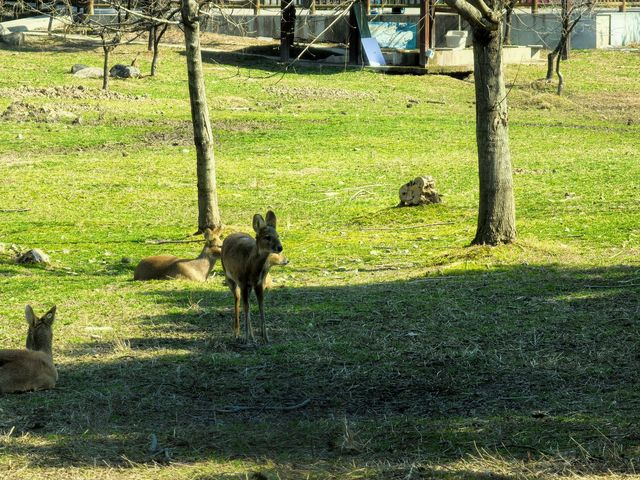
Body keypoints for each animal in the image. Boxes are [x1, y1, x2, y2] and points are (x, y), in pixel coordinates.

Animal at [222, 212, 288, 344]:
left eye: (277, 235)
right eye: (267, 237)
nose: (280, 247)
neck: (251, 267)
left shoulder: (259, 283)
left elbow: (261, 306)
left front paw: (265, 337)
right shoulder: (242, 281)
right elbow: (246, 307)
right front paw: (247, 338)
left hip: (248, 286)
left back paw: (251, 336)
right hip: (229, 278)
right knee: (237, 301)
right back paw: (237, 334)